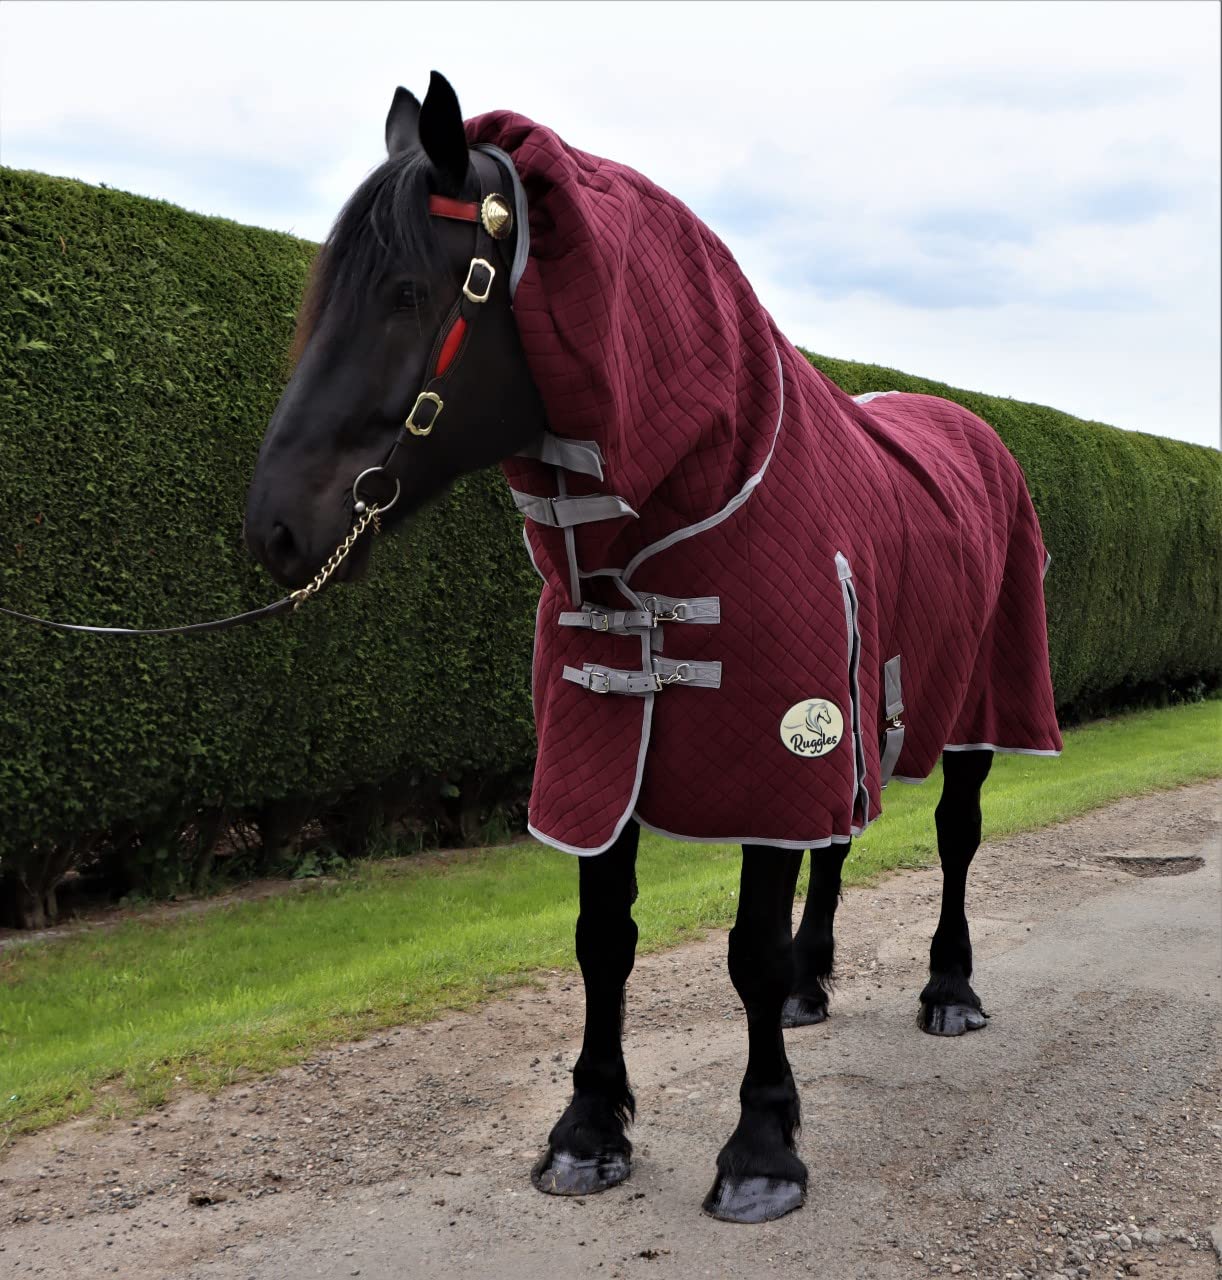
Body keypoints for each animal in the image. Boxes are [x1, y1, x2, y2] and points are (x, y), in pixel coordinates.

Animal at [244, 71, 1062, 1224]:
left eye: (406, 292)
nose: (276, 529)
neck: (697, 497)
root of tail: (974, 427)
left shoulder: (779, 738)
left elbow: (748, 951)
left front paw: (762, 1146)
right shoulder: (610, 743)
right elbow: (604, 942)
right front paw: (588, 1130)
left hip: (973, 707)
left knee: (954, 836)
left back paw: (949, 988)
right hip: (854, 706)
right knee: (842, 834)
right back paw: (817, 981)